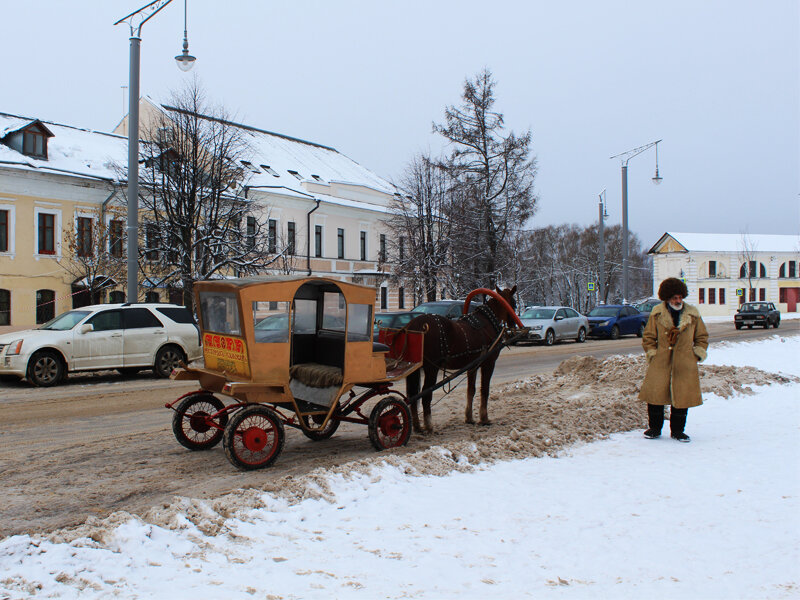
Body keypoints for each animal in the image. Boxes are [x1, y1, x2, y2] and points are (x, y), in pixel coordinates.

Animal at [406, 288, 520, 434]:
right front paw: (484, 418)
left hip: (415, 369)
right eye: (514, 303)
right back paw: (429, 425)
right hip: (431, 368)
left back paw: (417, 426)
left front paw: (469, 417)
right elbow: (485, 389)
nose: (513, 324)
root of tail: (414, 325)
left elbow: (471, 390)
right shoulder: (488, 363)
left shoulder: (472, 365)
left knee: (413, 395)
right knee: (425, 394)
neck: (487, 322)